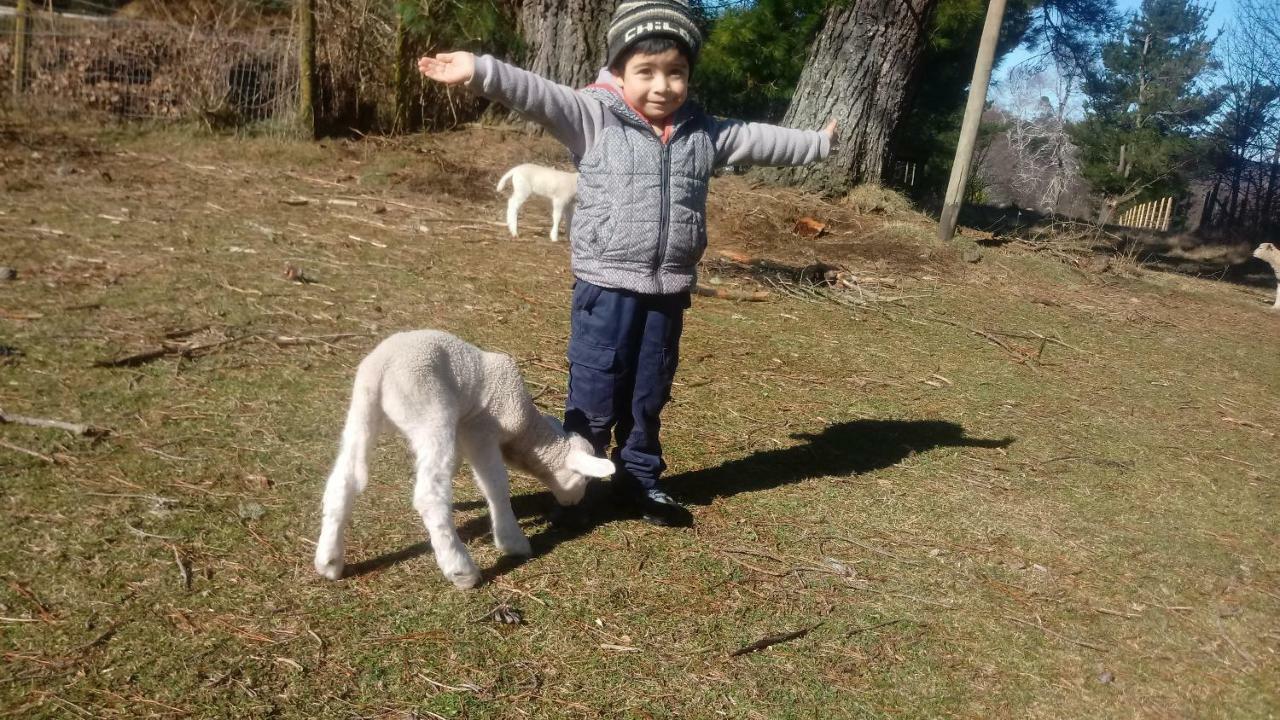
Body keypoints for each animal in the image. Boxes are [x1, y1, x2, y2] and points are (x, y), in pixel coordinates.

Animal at [308, 327, 609, 586]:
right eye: (585, 479)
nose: (574, 503)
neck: (525, 433)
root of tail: (379, 368)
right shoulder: (480, 431)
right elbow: (495, 484)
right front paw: (511, 541)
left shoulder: (462, 433)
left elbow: (454, 466)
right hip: (430, 410)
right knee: (429, 495)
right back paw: (461, 570)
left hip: (362, 414)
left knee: (343, 481)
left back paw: (329, 561)